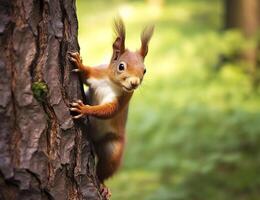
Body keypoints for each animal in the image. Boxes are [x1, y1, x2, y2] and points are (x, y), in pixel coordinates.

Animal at [69, 17, 154, 198]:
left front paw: (84, 109)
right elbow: (86, 74)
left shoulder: (122, 99)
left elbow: (108, 111)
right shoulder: (97, 75)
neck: (111, 83)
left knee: (104, 170)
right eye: (121, 66)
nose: (134, 83)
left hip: (113, 149)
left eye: (144, 70)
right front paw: (80, 64)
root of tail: (95, 144)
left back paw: (103, 186)